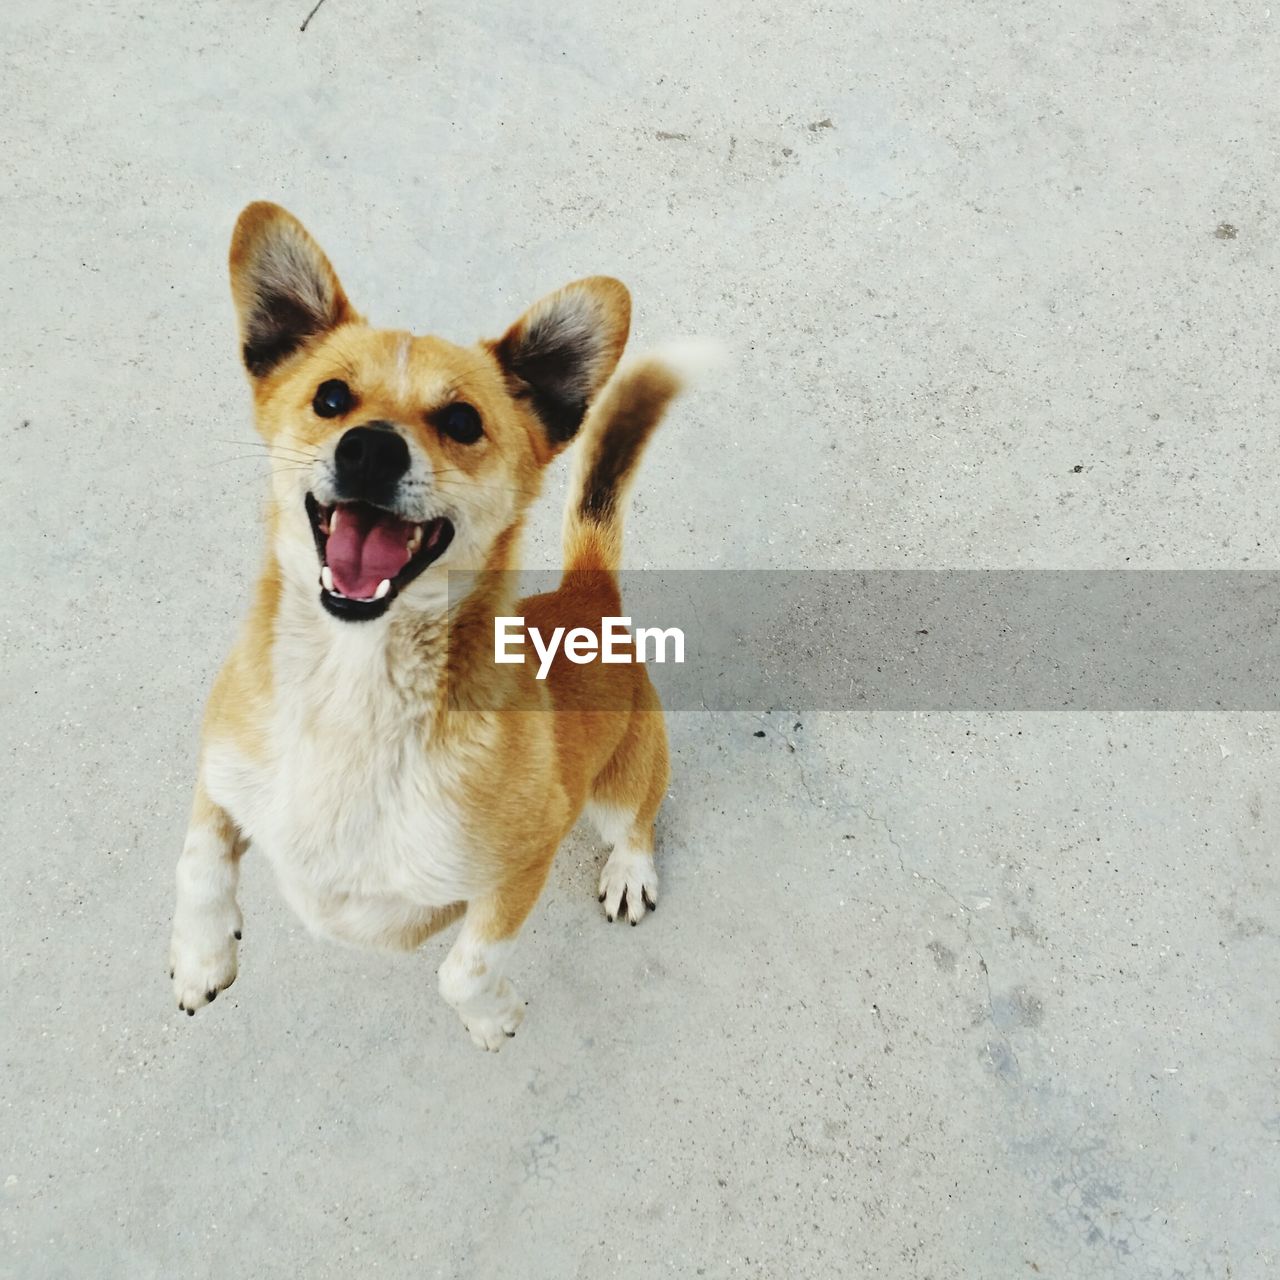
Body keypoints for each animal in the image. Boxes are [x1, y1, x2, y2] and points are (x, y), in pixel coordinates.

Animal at [171, 202, 691, 1049]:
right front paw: (201, 956)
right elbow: (198, 861)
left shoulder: (520, 866)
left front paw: (494, 1016)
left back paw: (628, 872)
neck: (352, 691)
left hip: (624, 781)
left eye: (461, 420)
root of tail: (586, 596)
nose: (370, 450)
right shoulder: (221, 772)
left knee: (637, 821)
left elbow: (464, 969)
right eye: (330, 399)